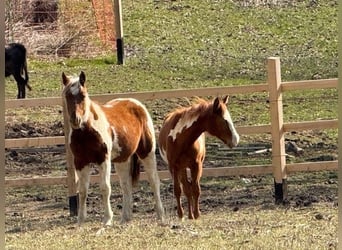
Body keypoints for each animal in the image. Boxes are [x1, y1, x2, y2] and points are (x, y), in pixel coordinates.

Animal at [62, 72, 165, 225]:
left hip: (147, 152)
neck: (86, 132)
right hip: (122, 160)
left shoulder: (103, 159)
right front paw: (80, 220)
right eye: (67, 95)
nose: (76, 120)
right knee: (126, 185)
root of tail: (137, 104)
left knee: (154, 181)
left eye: (83, 95)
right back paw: (125, 218)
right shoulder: (80, 162)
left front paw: (107, 219)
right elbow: (83, 190)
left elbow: (105, 188)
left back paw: (161, 215)